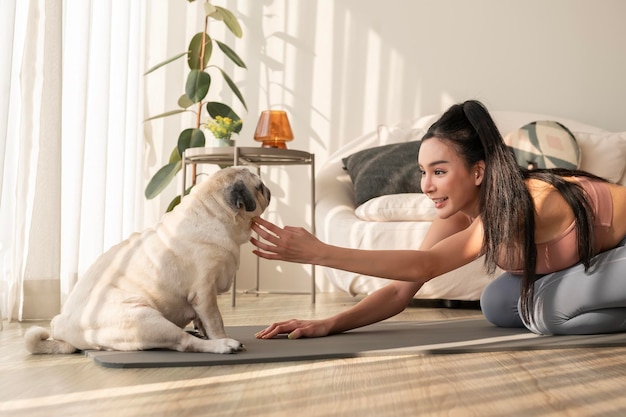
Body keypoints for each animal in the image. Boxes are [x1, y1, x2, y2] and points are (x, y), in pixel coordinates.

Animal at [25, 166, 270, 354]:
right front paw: (221, 337)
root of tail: (62, 328)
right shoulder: (204, 293)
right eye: (259, 187)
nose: (268, 189)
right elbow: (215, 321)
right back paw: (222, 345)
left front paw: (204, 331)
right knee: (184, 343)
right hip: (144, 319)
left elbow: (203, 322)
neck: (213, 213)